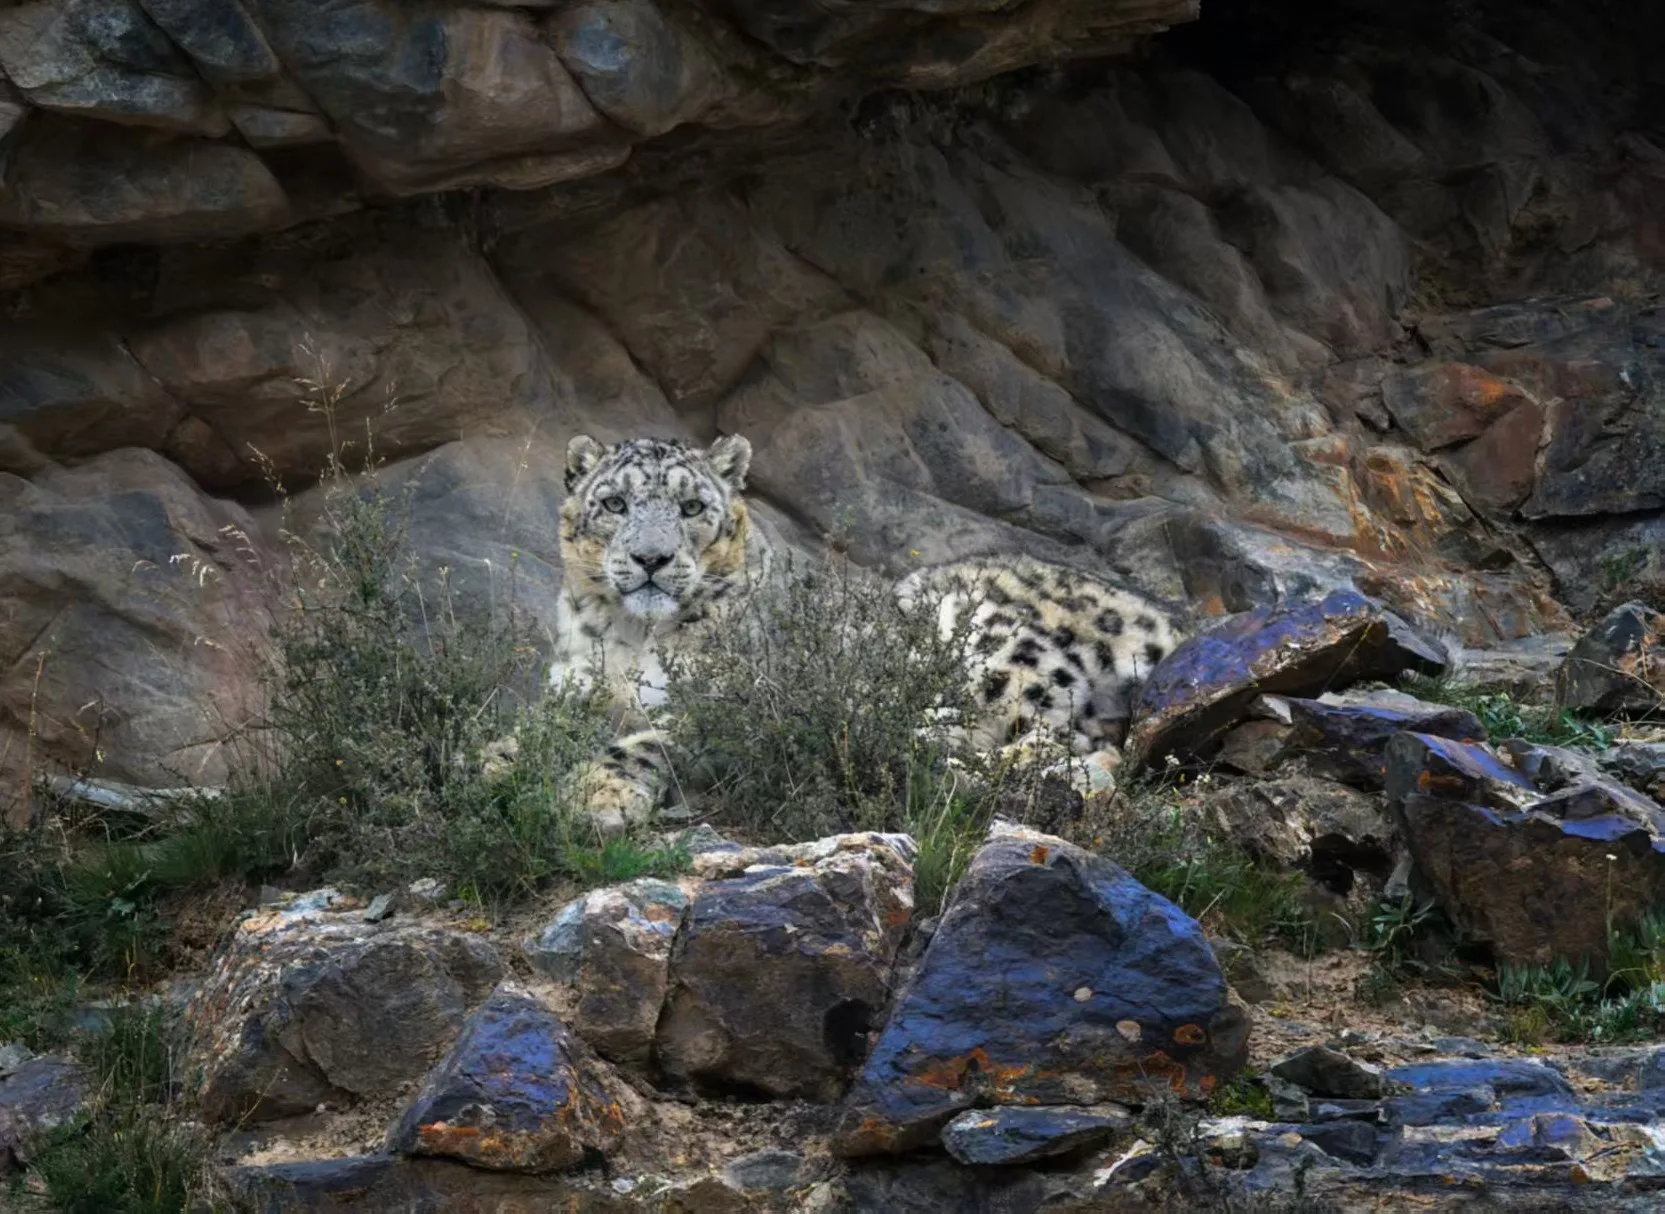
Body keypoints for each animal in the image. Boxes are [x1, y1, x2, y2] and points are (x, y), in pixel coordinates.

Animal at [528, 431, 1185, 834]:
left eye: (691, 508)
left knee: (1060, 742)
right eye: (614, 503)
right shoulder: (573, 686)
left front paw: (594, 792)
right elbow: (532, 730)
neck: (629, 638)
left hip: (991, 642)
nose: (651, 558)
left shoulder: (733, 704)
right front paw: (509, 762)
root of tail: (1153, 611)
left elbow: (646, 739)